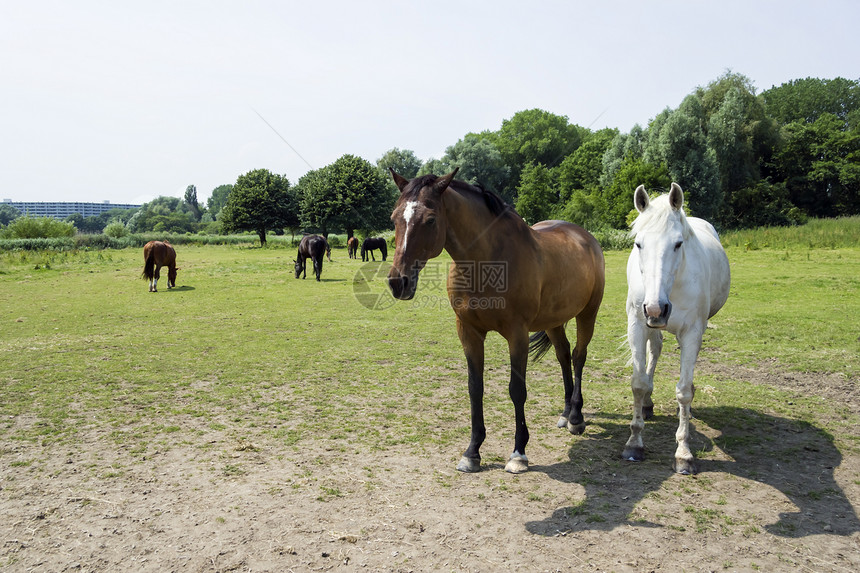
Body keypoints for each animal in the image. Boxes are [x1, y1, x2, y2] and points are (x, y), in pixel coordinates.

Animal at [390, 169, 604, 474]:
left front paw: (518, 453)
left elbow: (517, 390)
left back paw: (576, 417)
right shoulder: (469, 332)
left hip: (588, 313)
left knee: (578, 356)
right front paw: (472, 452)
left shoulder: (517, 334)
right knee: (563, 356)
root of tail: (584, 236)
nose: (399, 282)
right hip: (553, 322)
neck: (487, 262)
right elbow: (475, 388)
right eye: (394, 218)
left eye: (430, 219)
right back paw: (565, 414)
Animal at [620, 183, 728, 474]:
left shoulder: (692, 332)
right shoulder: (638, 324)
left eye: (678, 244)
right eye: (638, 244)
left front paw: (684, 454)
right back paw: (647, 405)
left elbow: (684, 391)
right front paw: (634, 443)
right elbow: (638, 383)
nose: (657, 309)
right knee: (655, 351)